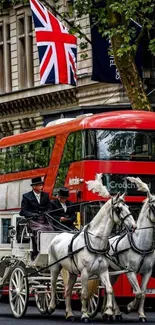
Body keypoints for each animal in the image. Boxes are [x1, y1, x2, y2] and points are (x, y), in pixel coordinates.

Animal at [47, 173, 136, 320]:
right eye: (118, 209)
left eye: (128, 207)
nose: (134, 226)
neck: (95, 243)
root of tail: (57, 236)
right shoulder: (84, 273)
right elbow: (84, 293)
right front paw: (85, 314)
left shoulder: (103, 271)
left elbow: (109, 289)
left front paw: (108, 311)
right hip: (55, 267)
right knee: (53, 285)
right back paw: (51, 306)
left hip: (72, 271)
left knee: (67, 290)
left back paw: (69, 313)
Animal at [108, 177, 155, 322]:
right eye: (153, 206)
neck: (141, 245)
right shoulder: (130, 272)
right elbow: (138, 292)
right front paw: (129, 307)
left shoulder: (147, 272)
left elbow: (143, 293)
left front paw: (142, 315)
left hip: (114, 272)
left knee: (110, 288)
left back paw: (114, 312)